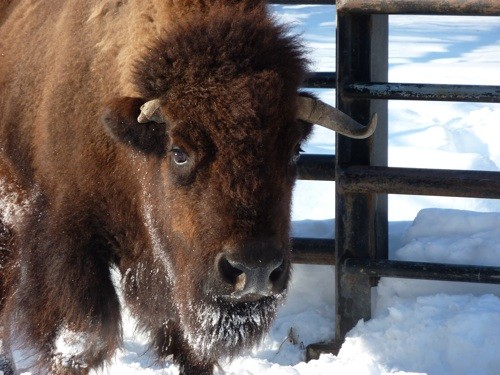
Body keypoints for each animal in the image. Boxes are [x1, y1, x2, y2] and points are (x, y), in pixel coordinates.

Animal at [0, 0, 376, 374]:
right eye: (179, 153)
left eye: (295, 149)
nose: (255, 269)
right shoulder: (67, 238)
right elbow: (82, 339)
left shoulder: (177, 273)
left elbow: (189, 345)